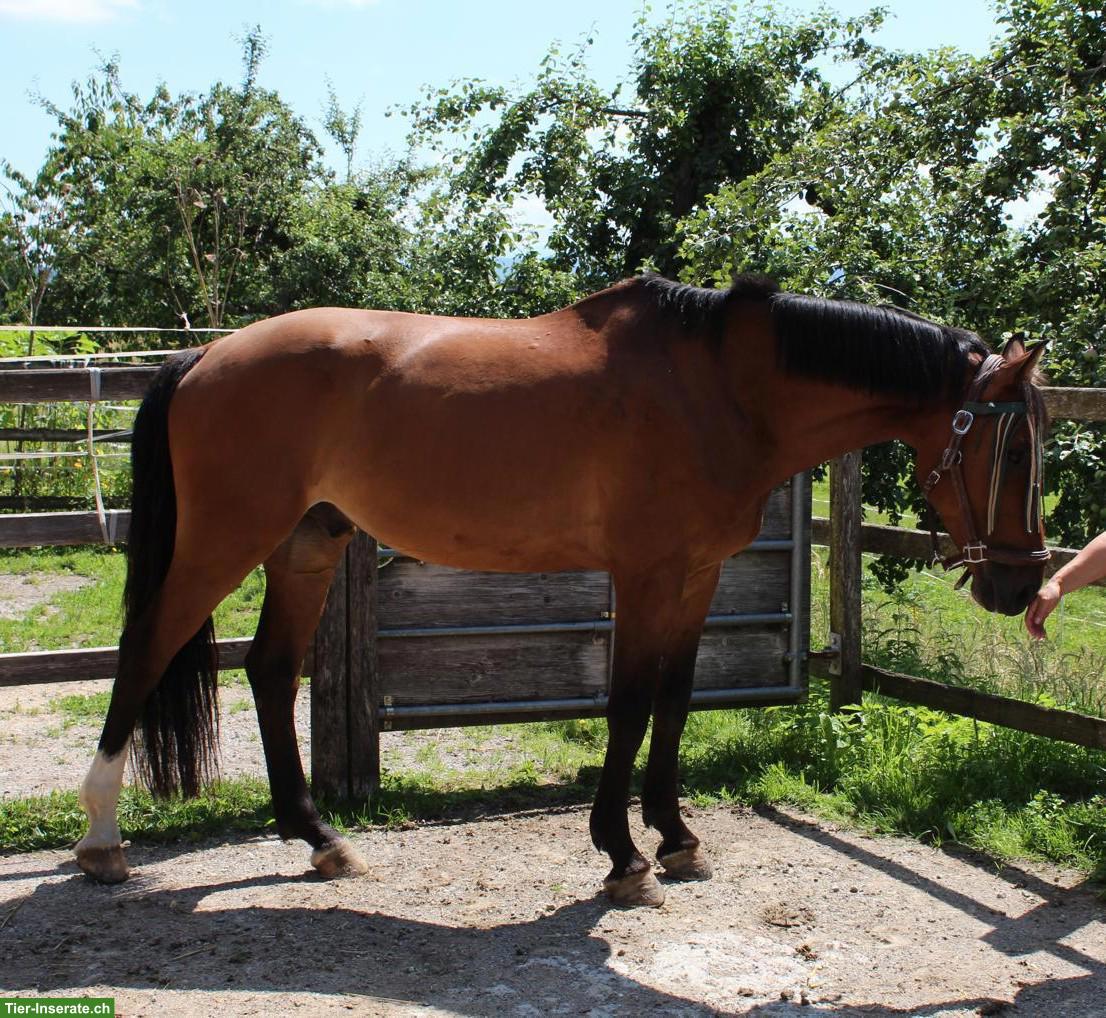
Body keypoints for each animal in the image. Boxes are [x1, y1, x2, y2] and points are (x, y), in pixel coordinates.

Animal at [74, 274, 1050, 907]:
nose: (1020, 583)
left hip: (305, 544)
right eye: (1013, 449)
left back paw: (318, 840)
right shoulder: (645, 574)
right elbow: (627, 704)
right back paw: (102, 843)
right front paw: (623, 856)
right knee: (146, 649)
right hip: (222, 543)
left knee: (272, 673)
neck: (718, 389)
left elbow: (676, 698)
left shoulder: (697, 574)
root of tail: (205, 356)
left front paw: (677, 837)